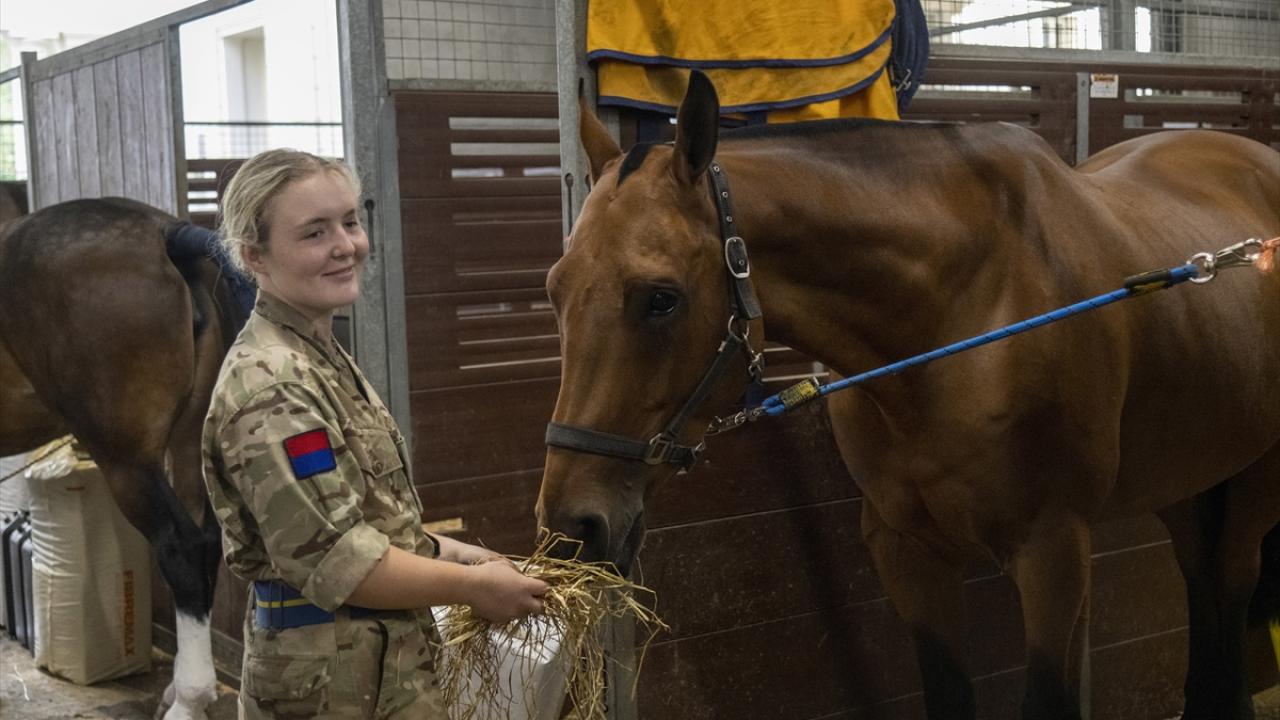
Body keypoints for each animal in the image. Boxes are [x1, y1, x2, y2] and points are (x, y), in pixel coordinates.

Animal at [0, 197, 248, 720]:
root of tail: (166, 235)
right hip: (188, 445)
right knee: (207, 543)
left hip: (127, 461)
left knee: (182, 547)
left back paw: (188, 700)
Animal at [535, 70, 1280, 719]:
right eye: (555, 286)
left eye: (661, 298)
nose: (572, 527)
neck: (964, 313)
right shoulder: (906, 552)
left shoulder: (1054, 551)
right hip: (1186, 474)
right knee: (1202, 580)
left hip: (1253, 480)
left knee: (1232, 577)